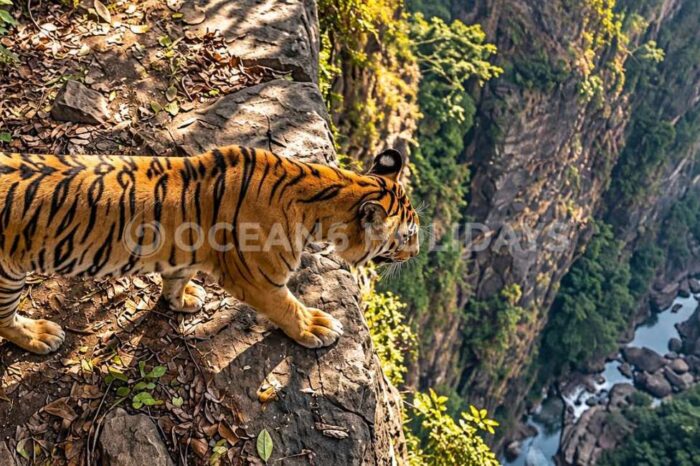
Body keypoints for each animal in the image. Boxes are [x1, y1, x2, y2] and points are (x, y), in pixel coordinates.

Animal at [0, 145, 419, 355]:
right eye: (407, 235)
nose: (415, 254)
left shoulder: (184, 250)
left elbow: (176, 275)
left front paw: (183, 298)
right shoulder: (260, 280)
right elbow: (288, 306)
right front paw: (315, 326)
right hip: (7, 275)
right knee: (5, 320)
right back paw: (40, 336)